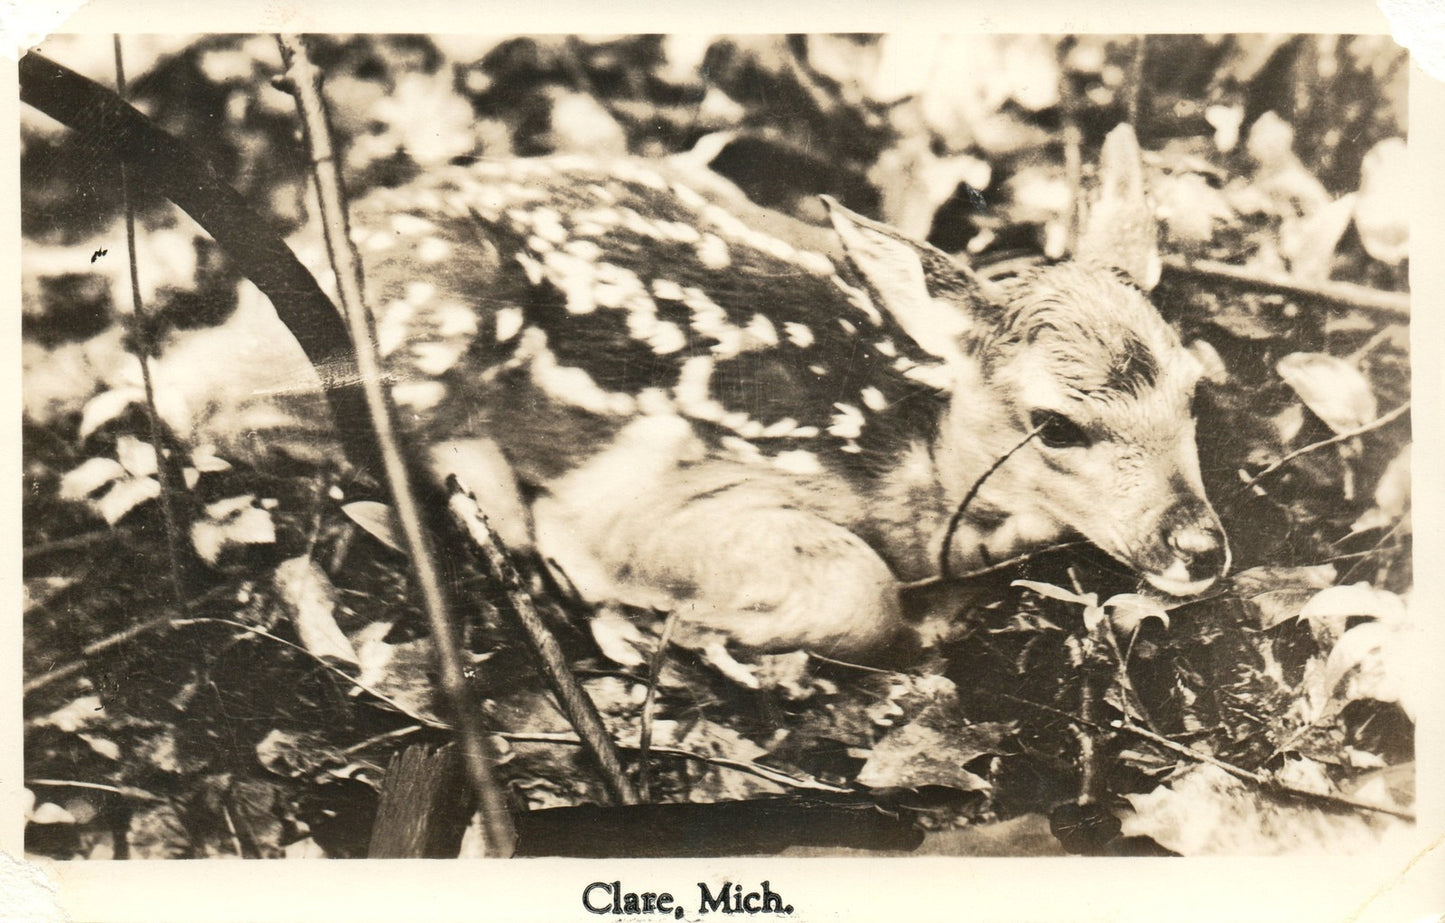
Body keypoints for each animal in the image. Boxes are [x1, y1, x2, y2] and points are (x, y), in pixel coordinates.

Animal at [318, 125, 1228, 685]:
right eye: (1054, 425)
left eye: (1194, 391)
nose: (1199, 546)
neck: (913, 468)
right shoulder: (662, 487)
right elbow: (860, 590)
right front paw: (701, 633)